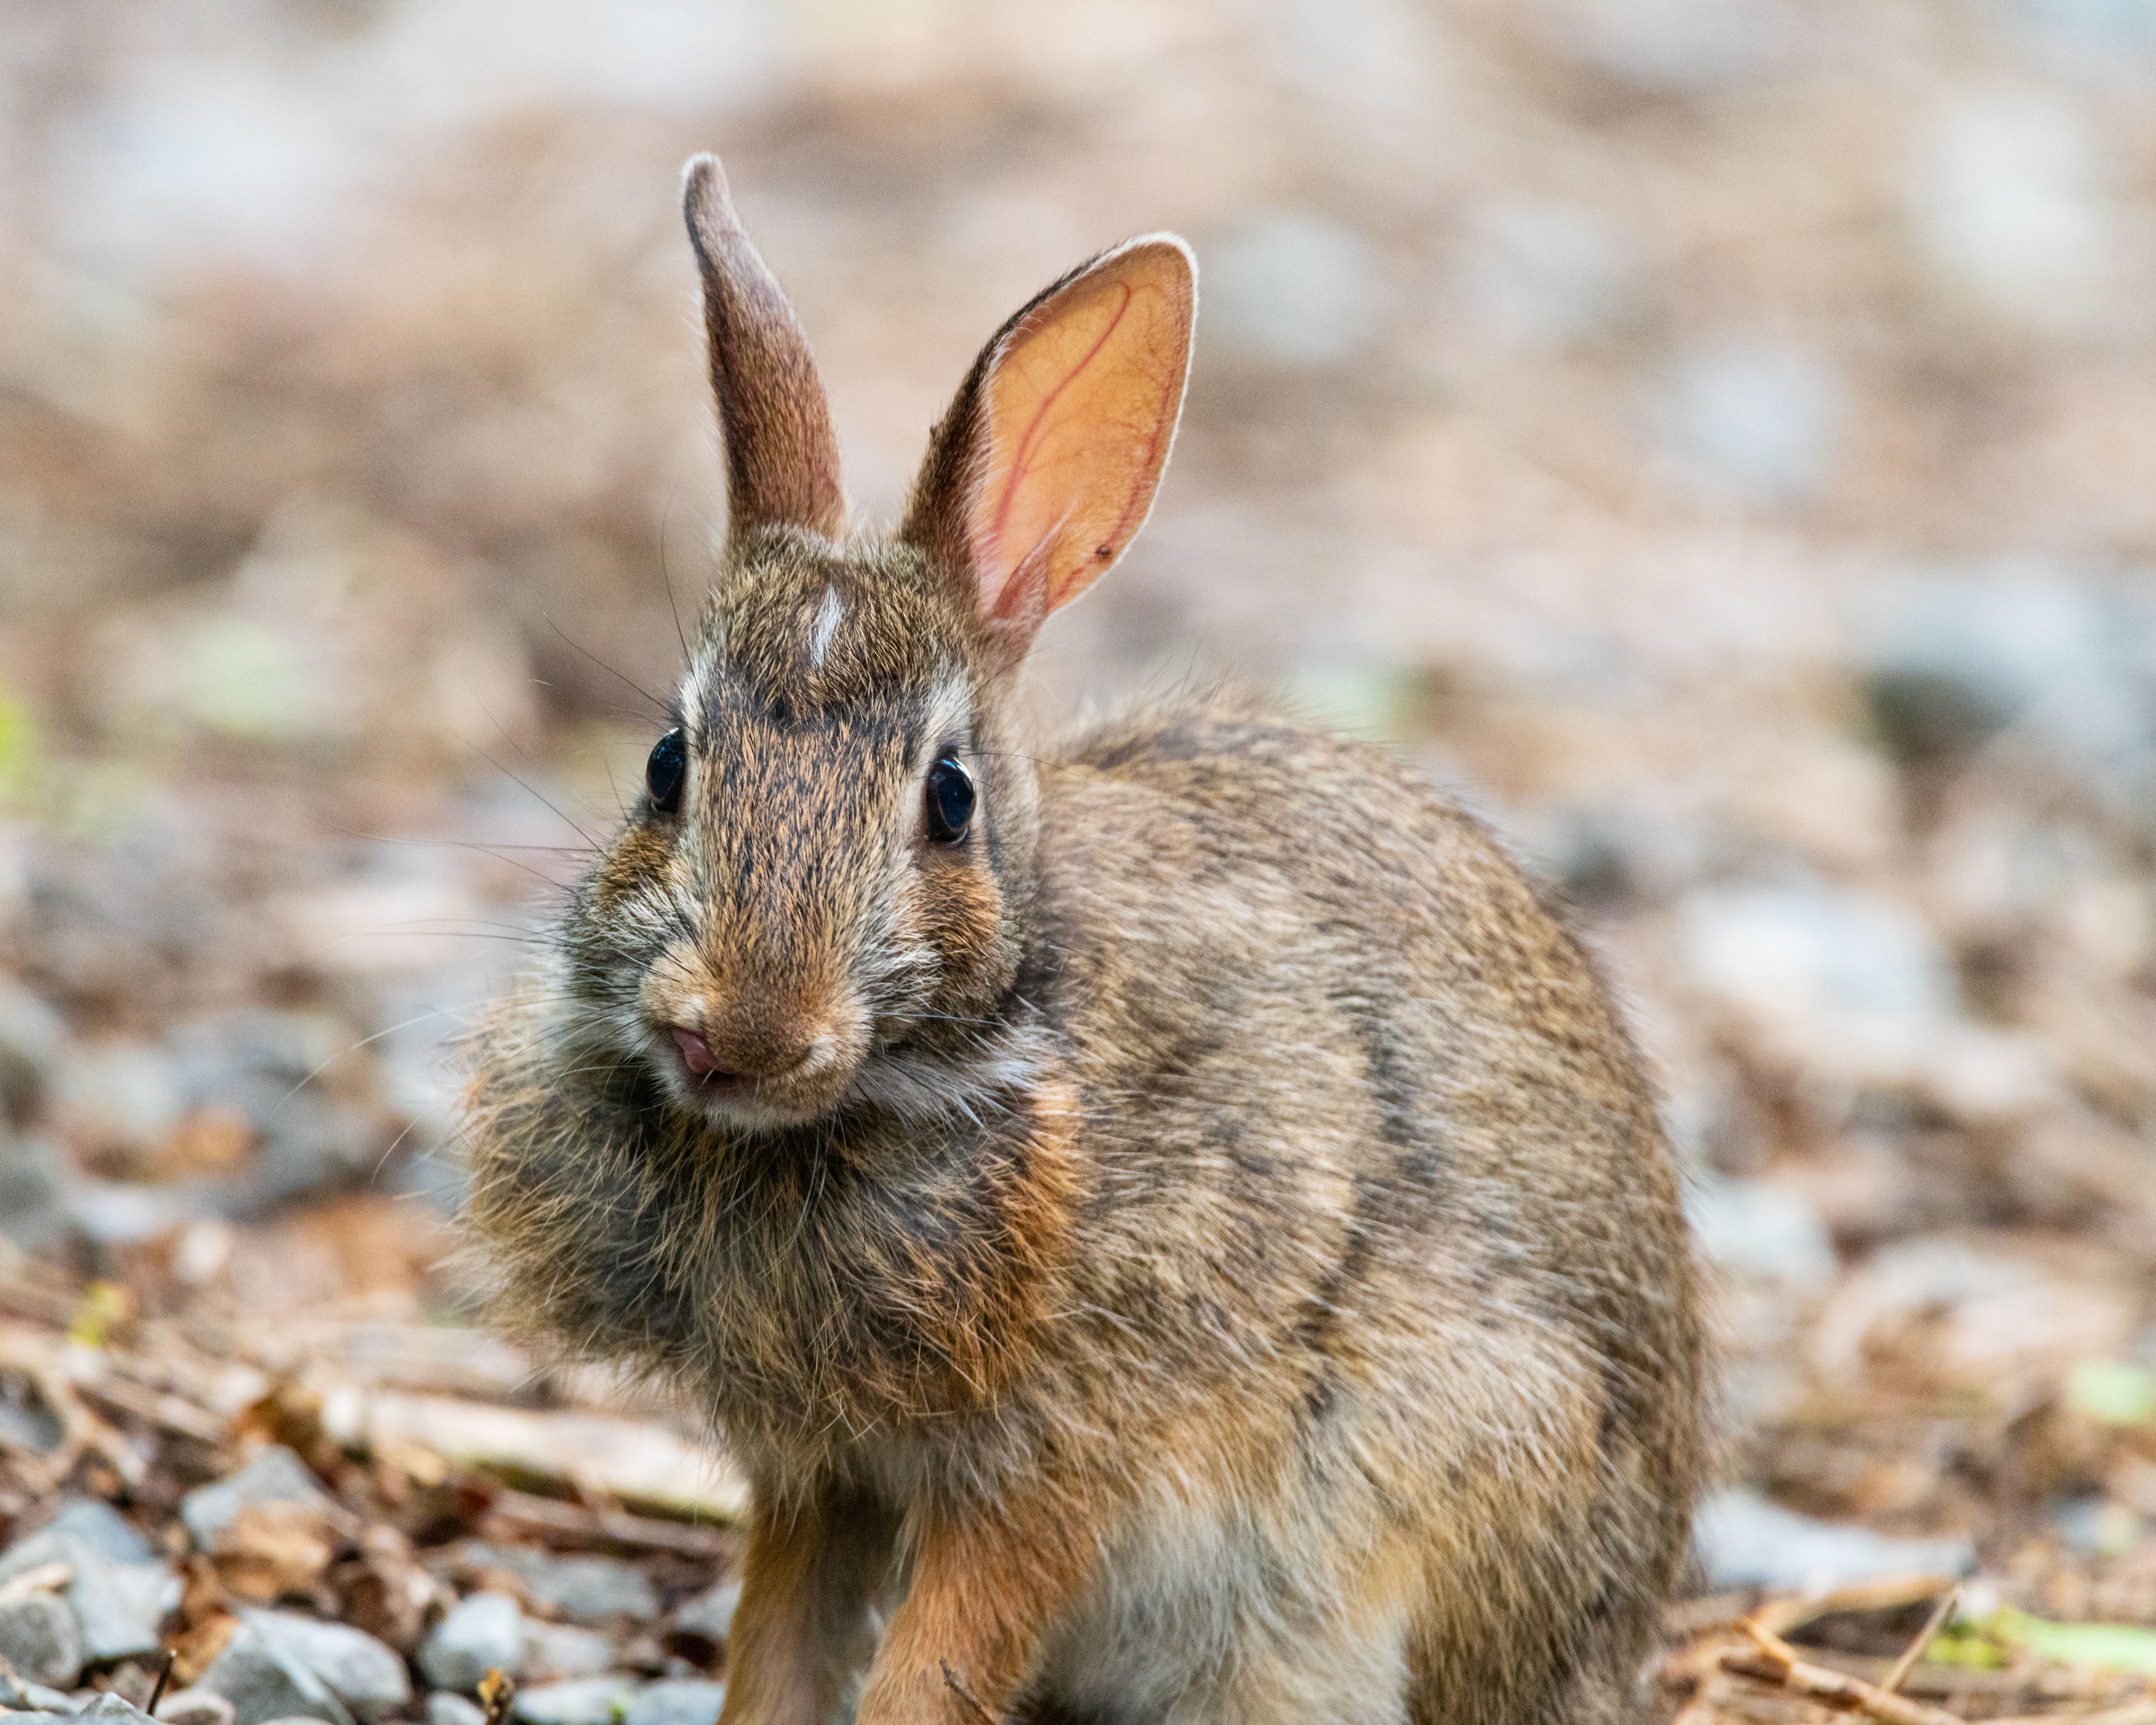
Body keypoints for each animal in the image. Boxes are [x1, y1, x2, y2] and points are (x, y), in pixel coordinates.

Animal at [463, 152, 1704, 1725]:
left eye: (948, 799)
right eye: (666, 765)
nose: (742, 1029)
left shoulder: (1067, 1455)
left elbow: (938, 1661)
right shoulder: (825, 1470)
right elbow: (781, 1645)